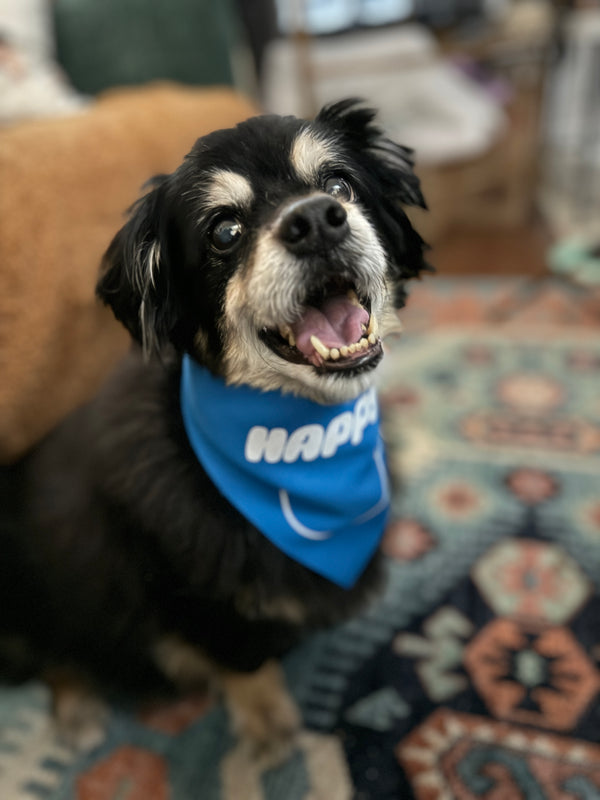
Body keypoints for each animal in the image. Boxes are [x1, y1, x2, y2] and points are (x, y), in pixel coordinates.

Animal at [1, 100, 432, 756]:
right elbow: (242, 660)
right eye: (224, 232)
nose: (318, 221)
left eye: (339, 187)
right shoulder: (194, 598)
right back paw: (76, 708)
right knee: (53, 653)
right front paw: (269, 726)